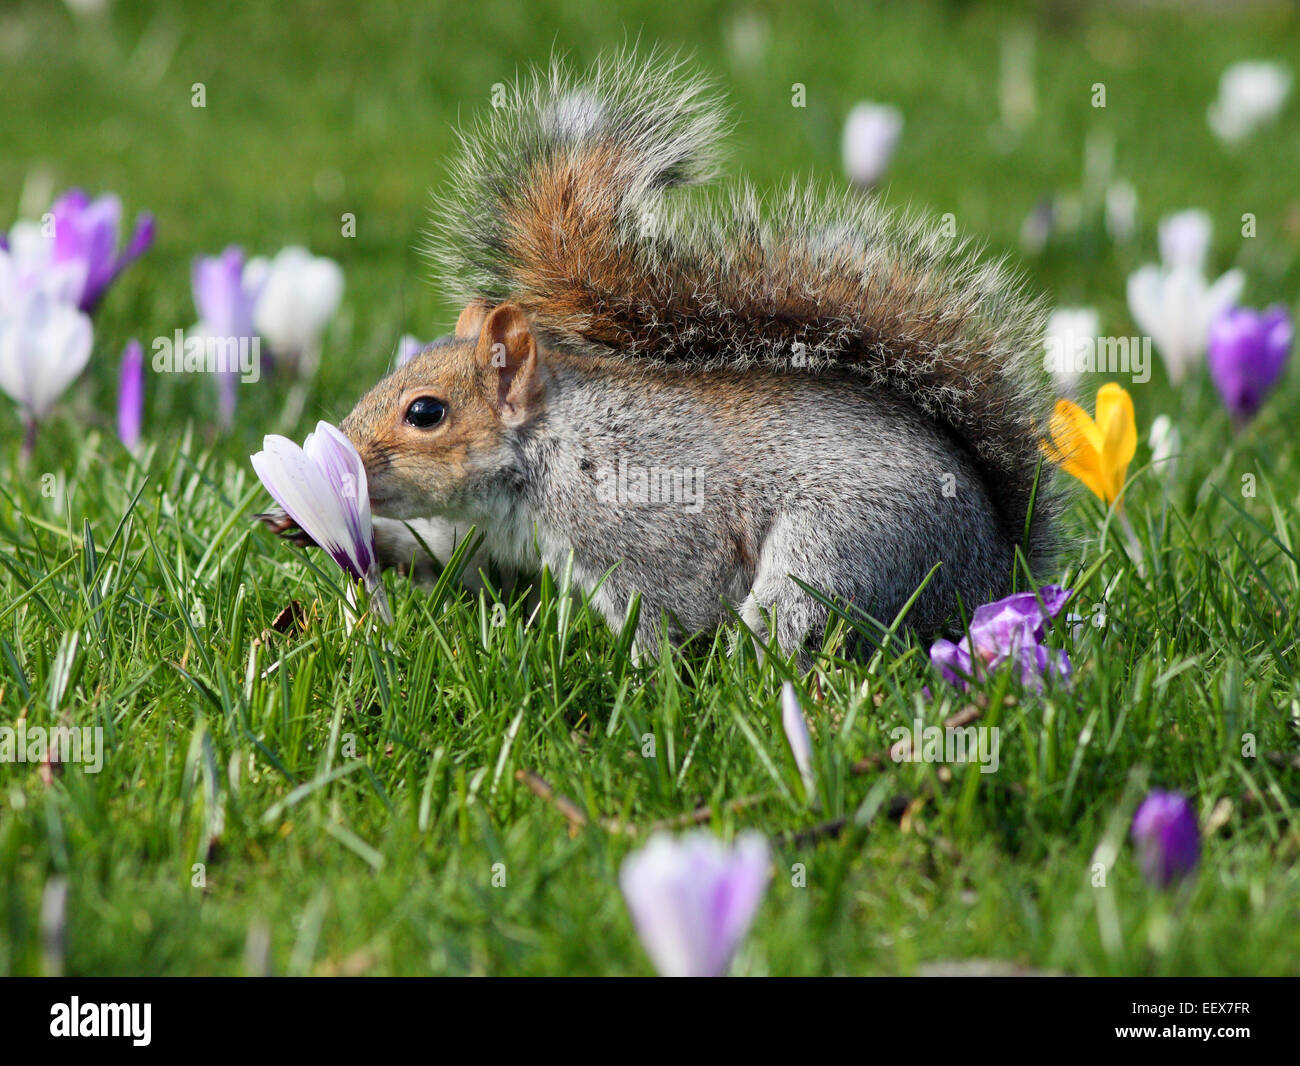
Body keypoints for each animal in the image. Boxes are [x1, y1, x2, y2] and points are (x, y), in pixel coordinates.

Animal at [262, 53, 1059, 659]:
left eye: (425, 413)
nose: (345, 459)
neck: (554, 445)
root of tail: (997, 568)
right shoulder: (492, 533)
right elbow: (448, 558)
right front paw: (304, 526)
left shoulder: (649, 523)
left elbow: (662, 608)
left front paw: (636, 677)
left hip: (845, 546)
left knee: (804, 615)